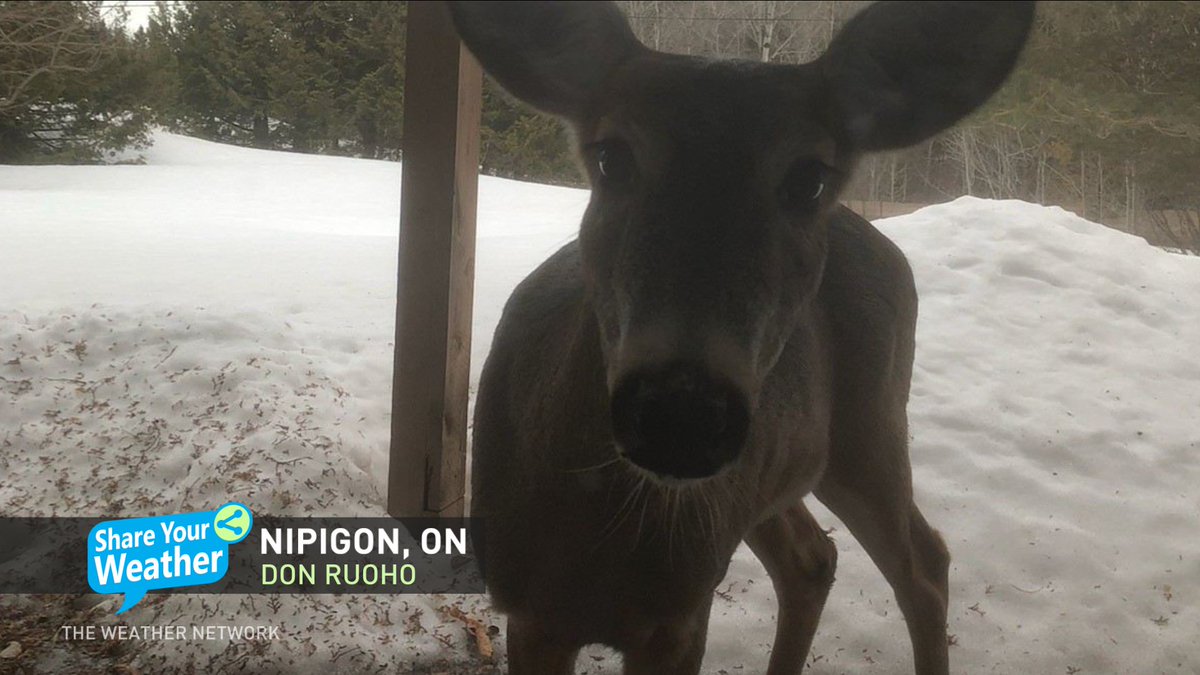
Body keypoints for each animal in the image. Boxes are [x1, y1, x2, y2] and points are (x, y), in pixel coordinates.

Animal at [451, 2, 1033, 673]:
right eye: (610, 157)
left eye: (810, 178)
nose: (681, 411)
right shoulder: (529, 606)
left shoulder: (681, 616)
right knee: (813, 559)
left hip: (871, 425)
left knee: (924, 564)